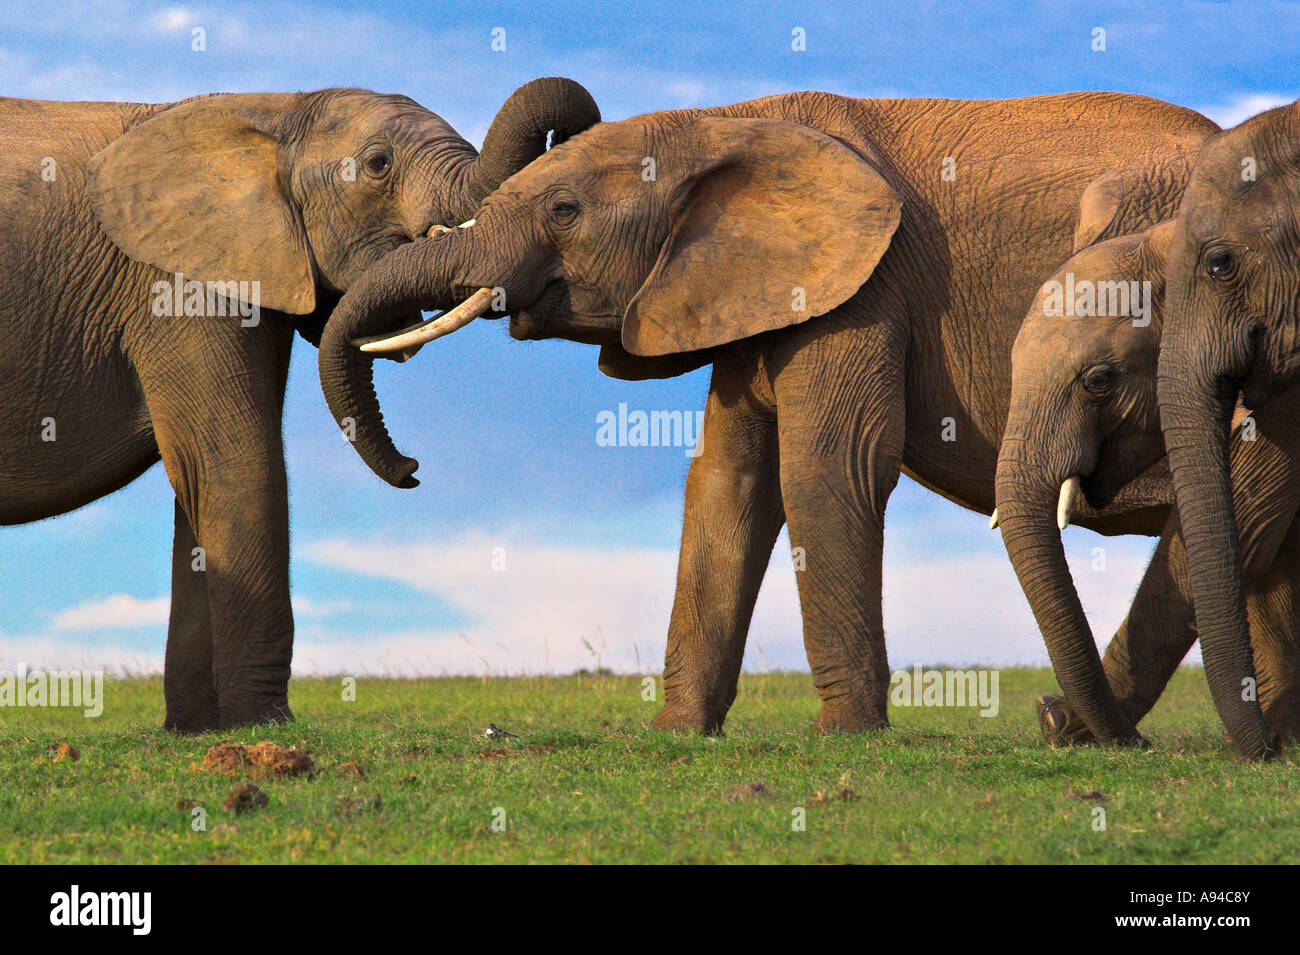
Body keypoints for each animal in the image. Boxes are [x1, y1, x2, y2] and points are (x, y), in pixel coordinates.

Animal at [0, 77, 599, 732]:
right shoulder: (173, 281)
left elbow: (202, 478)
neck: (274, 109)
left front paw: (197, 732)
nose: (413, 471)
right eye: (377, 165)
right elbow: (235, 462)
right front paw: (262, 725)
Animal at [317, 90, 1217, 736]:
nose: (413, 470)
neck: (730, 123)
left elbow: (830, 467)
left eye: (564, 211)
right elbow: (728, 480)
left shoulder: (865, 287)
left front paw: (848, 736)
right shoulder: (743, 290)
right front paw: (680, 735)